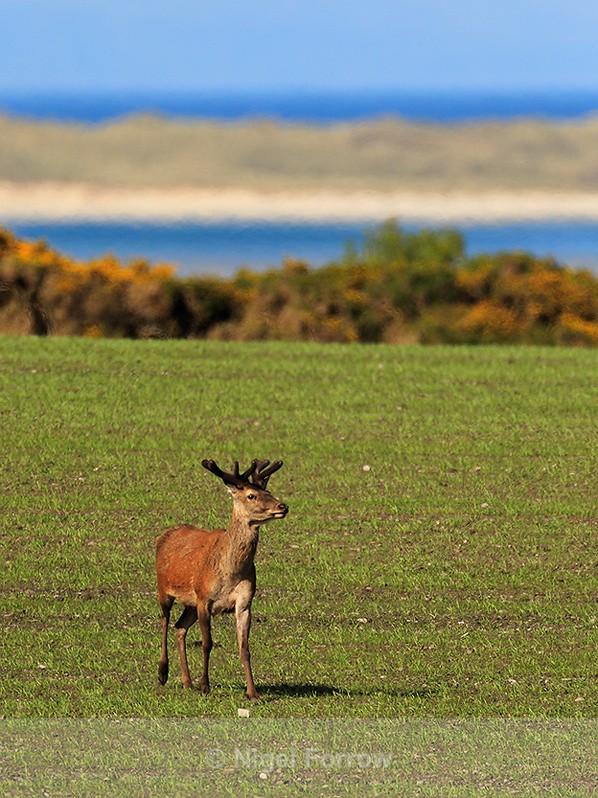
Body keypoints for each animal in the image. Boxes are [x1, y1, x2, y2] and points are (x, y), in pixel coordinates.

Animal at [155, 458, 288, 701]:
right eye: (251, 496)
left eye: (269, 491)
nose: (282, 506)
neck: (231, 572)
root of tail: (164, 535)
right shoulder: (204, 599)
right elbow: (207, 643)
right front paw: (205, 686)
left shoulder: (244, 602)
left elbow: (244, 648)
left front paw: (252, 692)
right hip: (164, 589)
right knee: (164, 621)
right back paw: (163, 673)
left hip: (190, 604)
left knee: (179, 627)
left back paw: (186, 682)